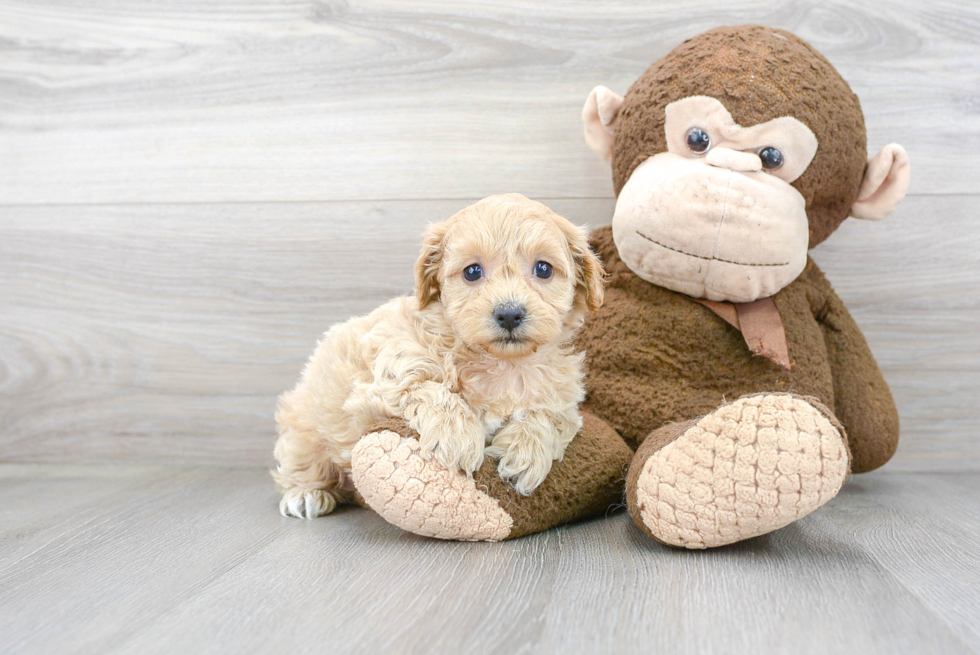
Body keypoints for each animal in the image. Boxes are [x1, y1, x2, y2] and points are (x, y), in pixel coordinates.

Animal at [272, 192, 600, 520]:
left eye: (543, 269)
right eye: (472, 271)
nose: (509, 313)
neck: (503, 364)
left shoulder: (563, 401)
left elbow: (548, 416)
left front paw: (526, 452)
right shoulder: (386, 375)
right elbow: (428, 389)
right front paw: (458, 438)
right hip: (305, 424)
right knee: (302, 460)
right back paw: (306, 494)